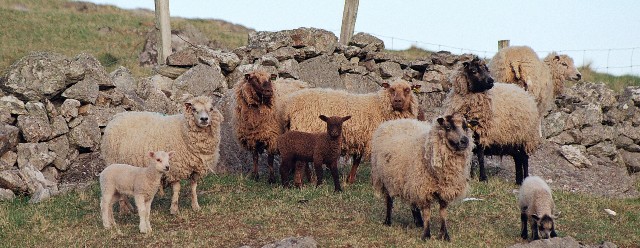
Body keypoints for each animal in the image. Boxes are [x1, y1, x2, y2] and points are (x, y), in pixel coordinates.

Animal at [280, 79, 420, 184]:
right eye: (391, 89)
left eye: (408, 90)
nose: (398, 101)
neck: (380, 106)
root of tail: (289, 105)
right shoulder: (371, 139)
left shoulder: (361, 139)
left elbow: (357, 160)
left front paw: (350, 180)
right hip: (303, 130)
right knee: (301, 161)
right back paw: (303, 182)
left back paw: (310, 179)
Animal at [370, 113, 476, 241]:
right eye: (448, 127)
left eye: (465, 127)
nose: (465, 141)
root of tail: (395, 121)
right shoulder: (424, 189)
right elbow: (427, 213)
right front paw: (426, 235)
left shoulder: (445, 189)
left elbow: (443, 213)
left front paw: (444, 235)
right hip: (385, 179)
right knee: (389, 200)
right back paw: (387, 221)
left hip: (410, 181)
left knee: (412, 202)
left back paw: (418, 222)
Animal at [444, 55, 540, 184]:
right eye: (473, 70)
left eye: (487, 69)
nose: (491, 81)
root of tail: (527, 95)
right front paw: (469, 176)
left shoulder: (481, 133)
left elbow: (480, 156)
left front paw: (483, 178)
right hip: (513, 139)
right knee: (518, 159)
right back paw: (518, 181)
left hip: (525, 138)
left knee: (524, 159)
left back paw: (525, 180)